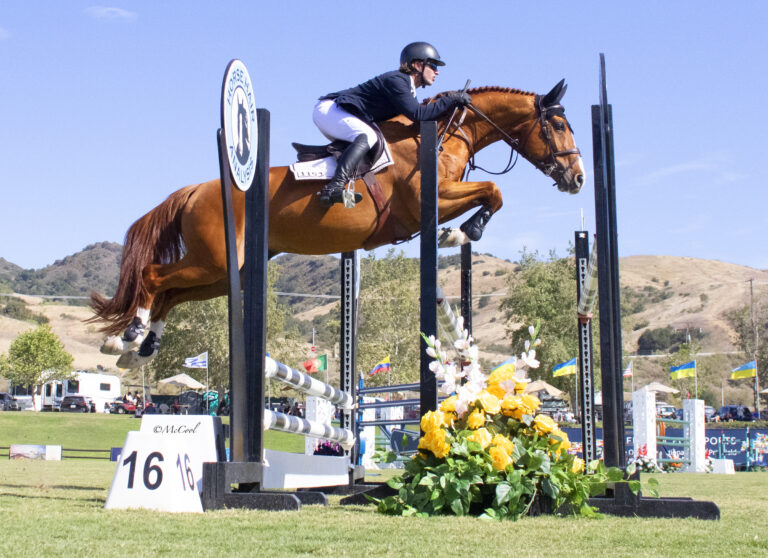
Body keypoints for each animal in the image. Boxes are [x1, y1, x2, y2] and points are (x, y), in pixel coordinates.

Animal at [91, 77, 584, 368]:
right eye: (560, 126)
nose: (577, 178)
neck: (444, 135)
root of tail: (196, 189)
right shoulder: (429, 200)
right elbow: (494, 191)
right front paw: (461, 232)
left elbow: (492, 194)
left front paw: (461, 231)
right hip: (212, 260)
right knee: (153, 276)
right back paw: (126, 337)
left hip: (227, 271)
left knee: (171, 293)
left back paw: (142, 348)